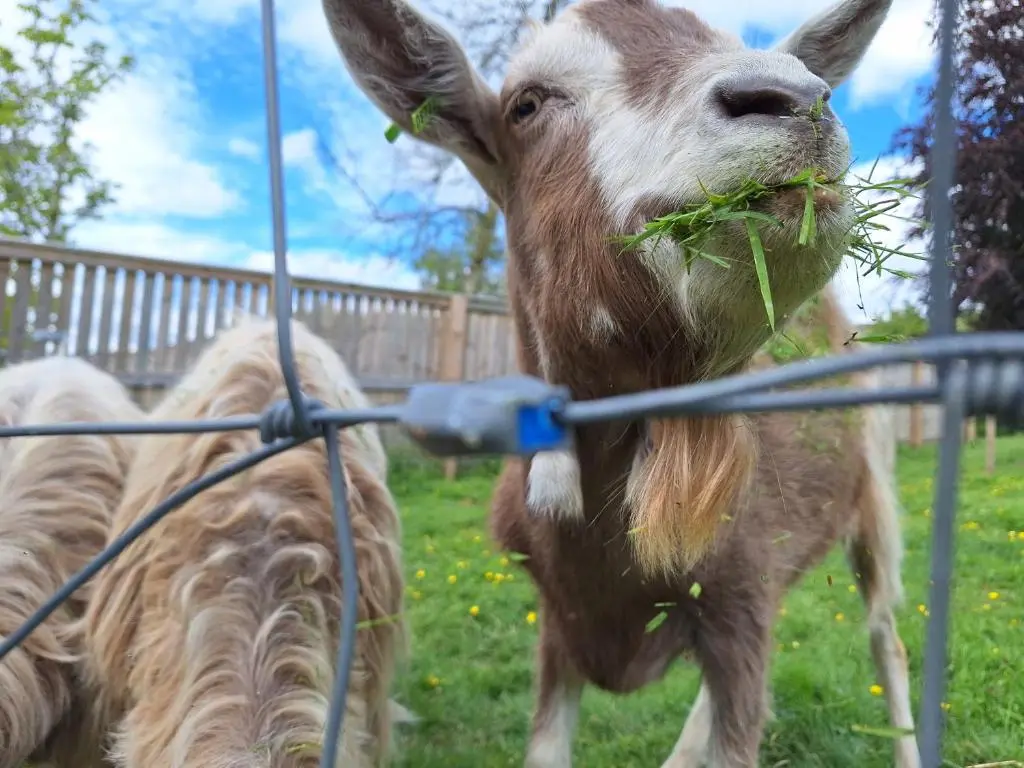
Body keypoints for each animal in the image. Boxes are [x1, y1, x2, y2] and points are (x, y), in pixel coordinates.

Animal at [321, 0, 918, 765]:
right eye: (526, 104)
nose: (793, 99)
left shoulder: (740, 601)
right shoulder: (560, 622)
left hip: (875, 487)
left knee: (885, 632)